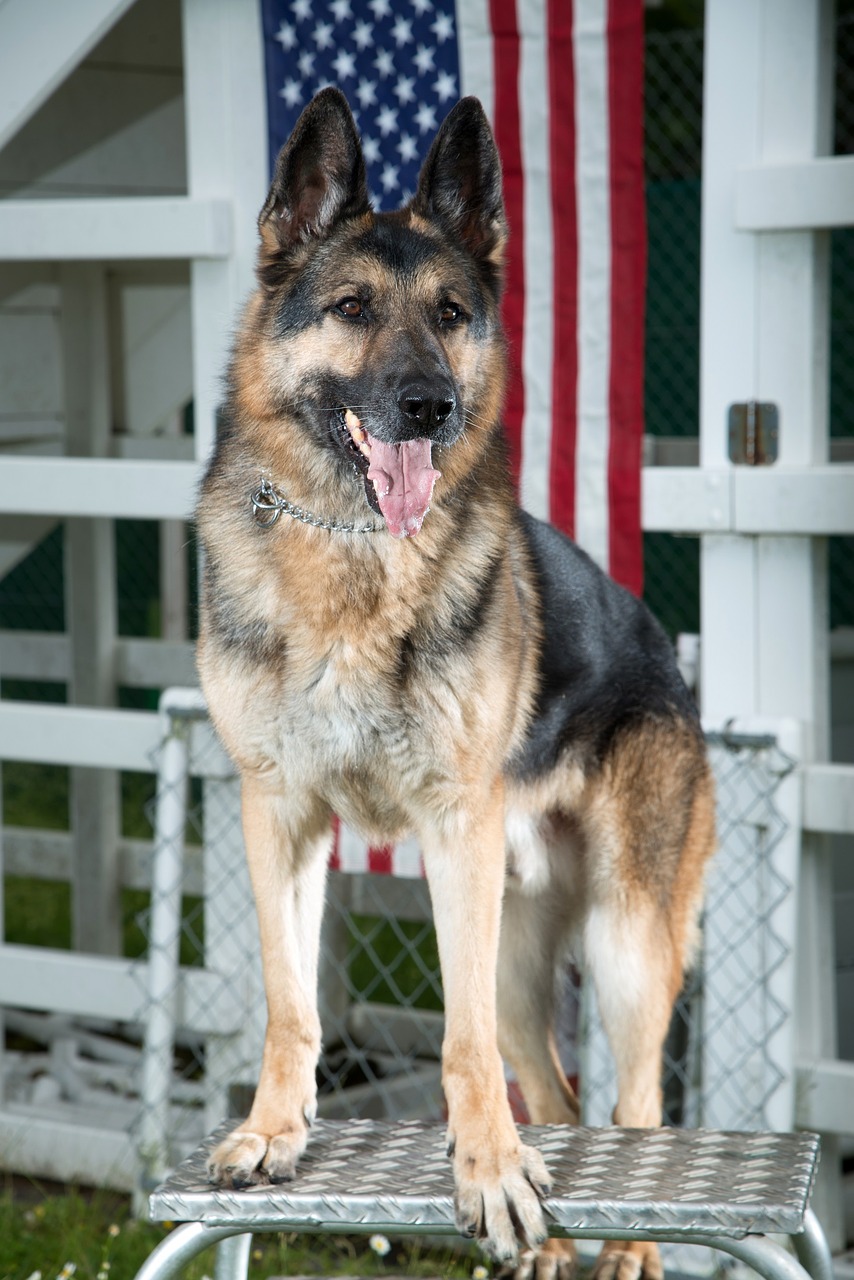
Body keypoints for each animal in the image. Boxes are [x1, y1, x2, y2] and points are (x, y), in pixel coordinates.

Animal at [198, 90, 717, 1280]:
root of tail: (666, 658)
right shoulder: (278, 815)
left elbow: (460, 1038)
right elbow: (290, 1002)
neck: (349, 550)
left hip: (620, 943)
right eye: (349, 307)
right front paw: (274, 1129)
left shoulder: (451, 832)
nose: (428, 405)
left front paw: (484, 1169)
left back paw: (630, 1247)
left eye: (448, 314)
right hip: (524, 956)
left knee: (634, 1105)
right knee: (559, 1093)